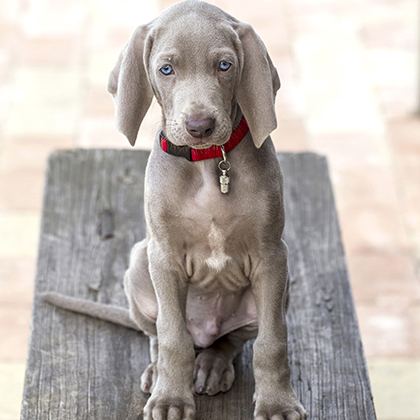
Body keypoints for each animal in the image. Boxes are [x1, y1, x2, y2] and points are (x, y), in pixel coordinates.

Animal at [42, 0, 306, 420]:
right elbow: (172, 337)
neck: (208, 162)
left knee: (231, 342)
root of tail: (206, 331)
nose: (200, 125)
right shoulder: (164, 256)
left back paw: (213, 365)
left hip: (282, 285)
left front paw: (277, 403)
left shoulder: (271, 256)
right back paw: (158, 372)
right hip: (139, 262)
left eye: (225, 65)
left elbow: (272, 340)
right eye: (166, 69)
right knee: (159, 334)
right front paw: (170, 399)